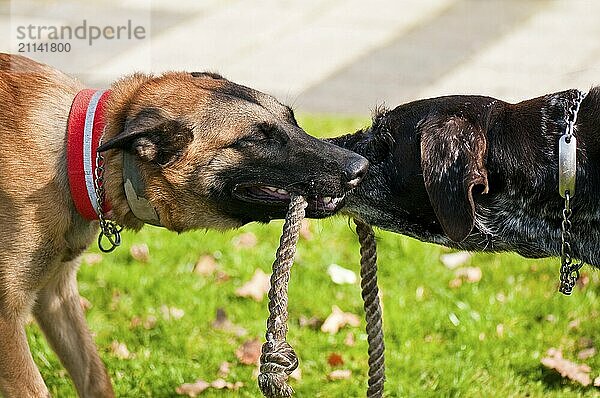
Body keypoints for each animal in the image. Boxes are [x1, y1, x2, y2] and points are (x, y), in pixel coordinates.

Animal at [0, 53, 368, 398]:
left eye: (293, 121)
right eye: (257, 139)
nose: (361, 167)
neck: (84, 153)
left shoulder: (56, 294)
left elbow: (94, 374)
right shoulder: (9, 317)